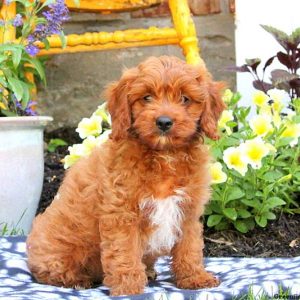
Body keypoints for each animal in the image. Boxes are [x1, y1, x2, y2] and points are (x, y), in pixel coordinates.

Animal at [27, 55, 225, 296]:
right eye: (146, 97)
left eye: (185, 99)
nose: (164, 122)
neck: (164, 155)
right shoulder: (121, 214)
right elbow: (125, 252)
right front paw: (128, 288)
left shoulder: (187, 210)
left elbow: (190, 248)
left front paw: (195, 278)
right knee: (50, 271)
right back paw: (78, 280)